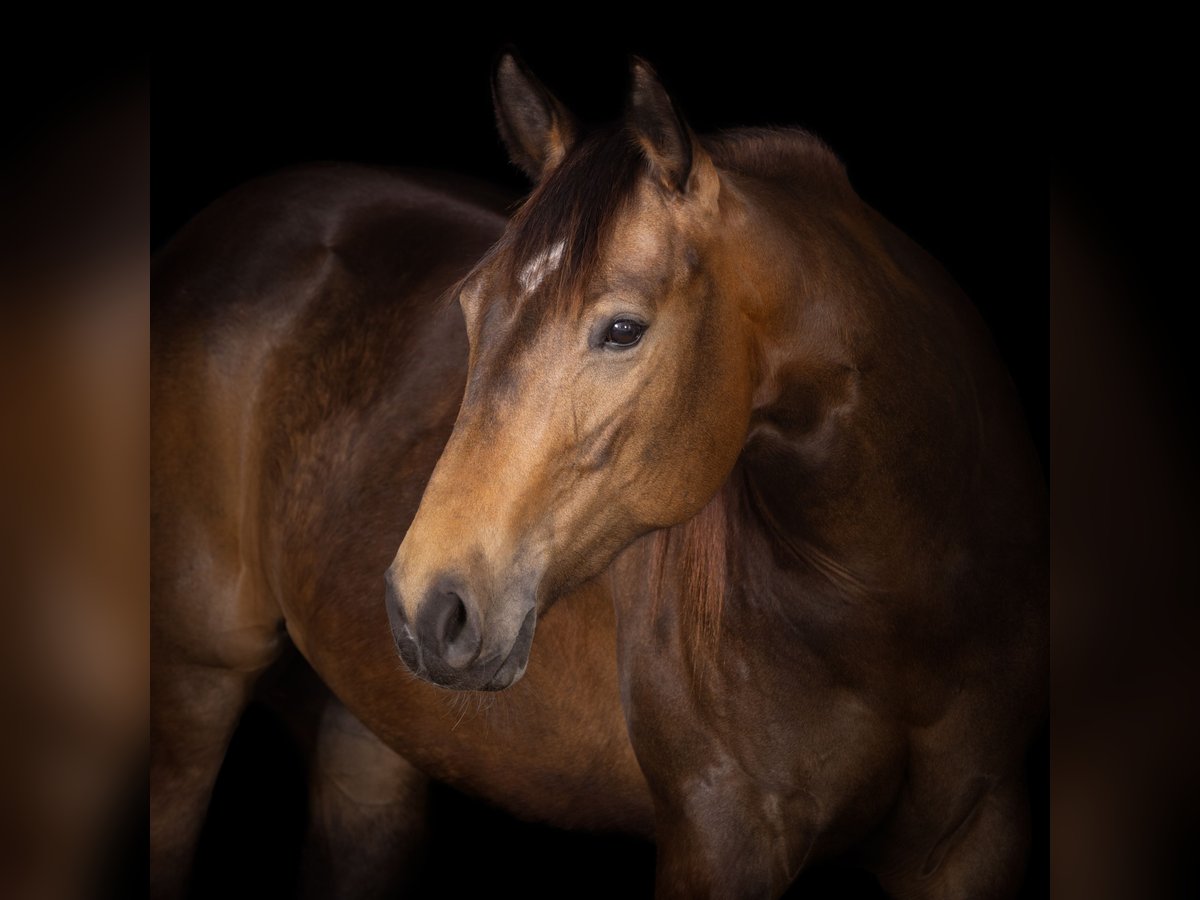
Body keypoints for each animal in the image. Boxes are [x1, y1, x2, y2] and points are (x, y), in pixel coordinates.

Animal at [150, 52, 1046, 897]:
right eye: (469, 308)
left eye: (622, 329)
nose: (426, 607)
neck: (893, 609)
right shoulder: (720, 840)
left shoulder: (975, 842)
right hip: (194, 685)